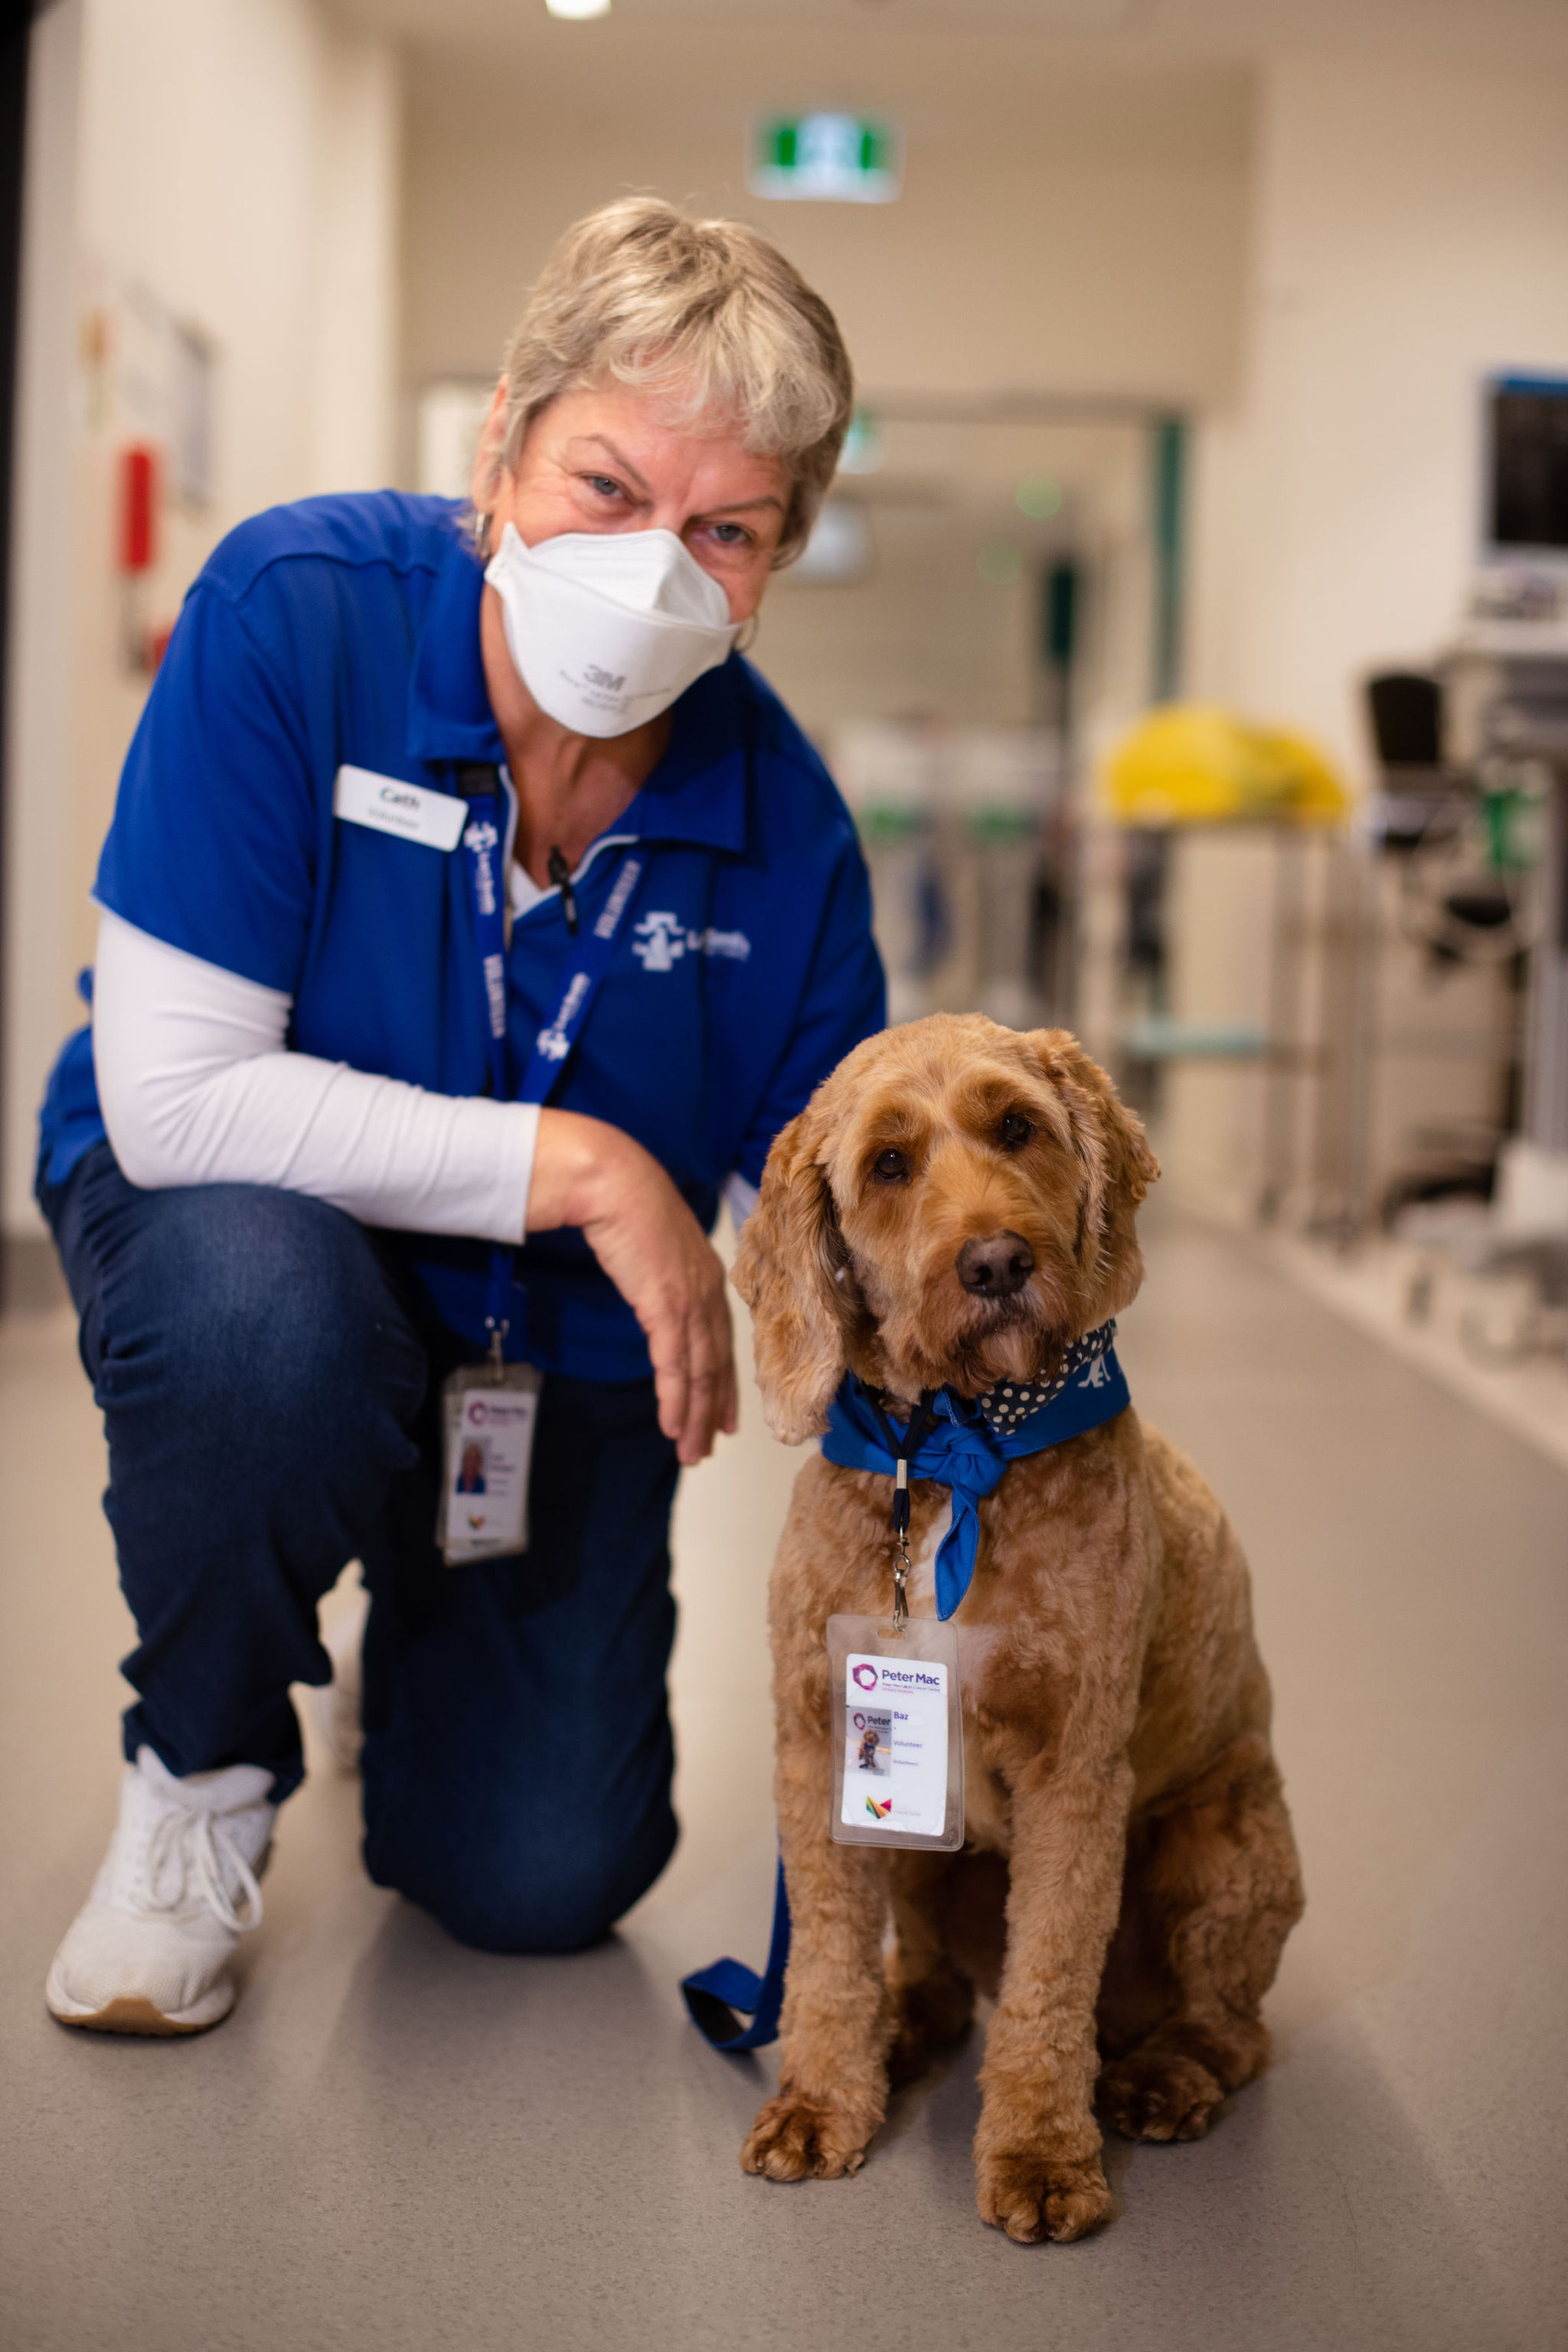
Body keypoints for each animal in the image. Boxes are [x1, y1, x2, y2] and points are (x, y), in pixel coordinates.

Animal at [728, 1011, 1307, 2239]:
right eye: (888, 1164)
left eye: (1016, 1127)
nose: (996, 1262)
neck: (953, 1451)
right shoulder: (813, 1754)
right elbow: (826, 1966)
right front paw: (820, 2101)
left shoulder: (1074, 1774)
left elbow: (1047, 1984)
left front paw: (1041, 2156)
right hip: (923, 1857)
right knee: (937, 1978)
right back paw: (903, 2027)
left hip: (1224, 1851)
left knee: (1230, 2025)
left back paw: (1160, 2075)